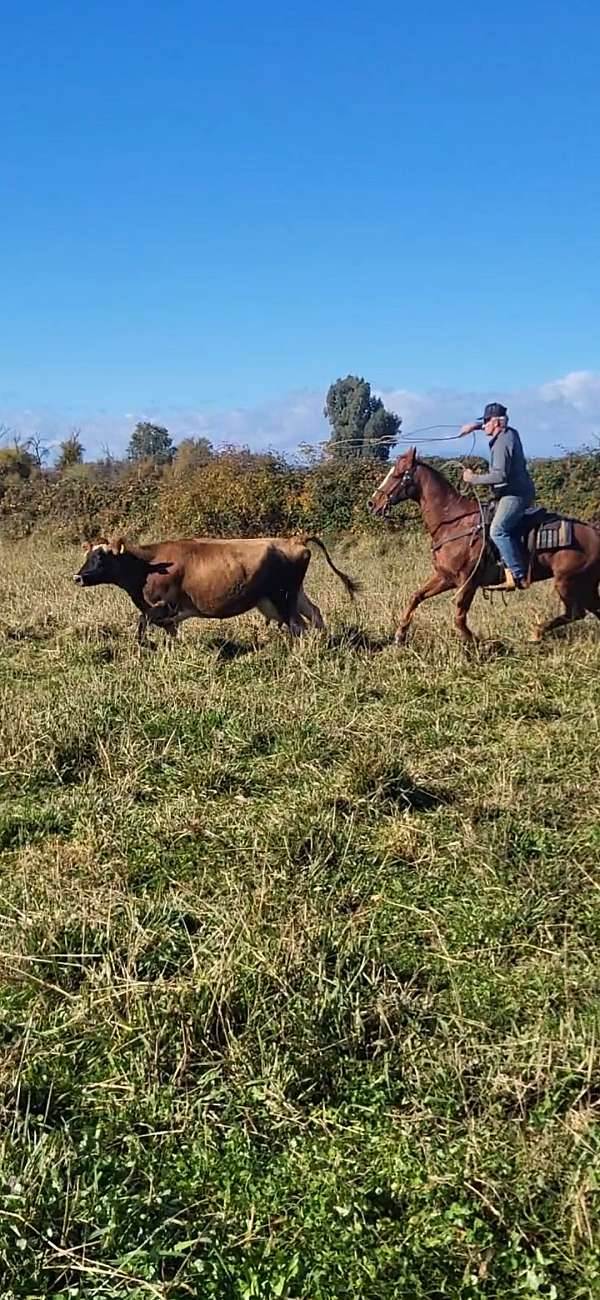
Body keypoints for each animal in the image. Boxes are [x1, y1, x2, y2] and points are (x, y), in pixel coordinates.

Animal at [73, 533, 355, 644]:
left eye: (101, 558)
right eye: (88, 556)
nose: (77, 577)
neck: (147, 565)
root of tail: (294, 540)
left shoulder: (162, 606)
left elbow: (142, 628)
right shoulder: (167, 614)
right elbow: (168, 634)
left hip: (282, 597)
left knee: (298, 626)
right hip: (290, 595)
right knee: (315, 615)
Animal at [368, 449, 600, 647]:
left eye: (398, 474)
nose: (372, 503)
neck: (453, 522)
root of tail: (595, 532)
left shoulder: (467, 581)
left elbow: (459, 618)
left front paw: (480, 644)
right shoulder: (446, 577)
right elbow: (416, 596)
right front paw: (400, 634)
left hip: (567, 582)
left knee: (575, 613)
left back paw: (536, 632)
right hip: (585, 584)